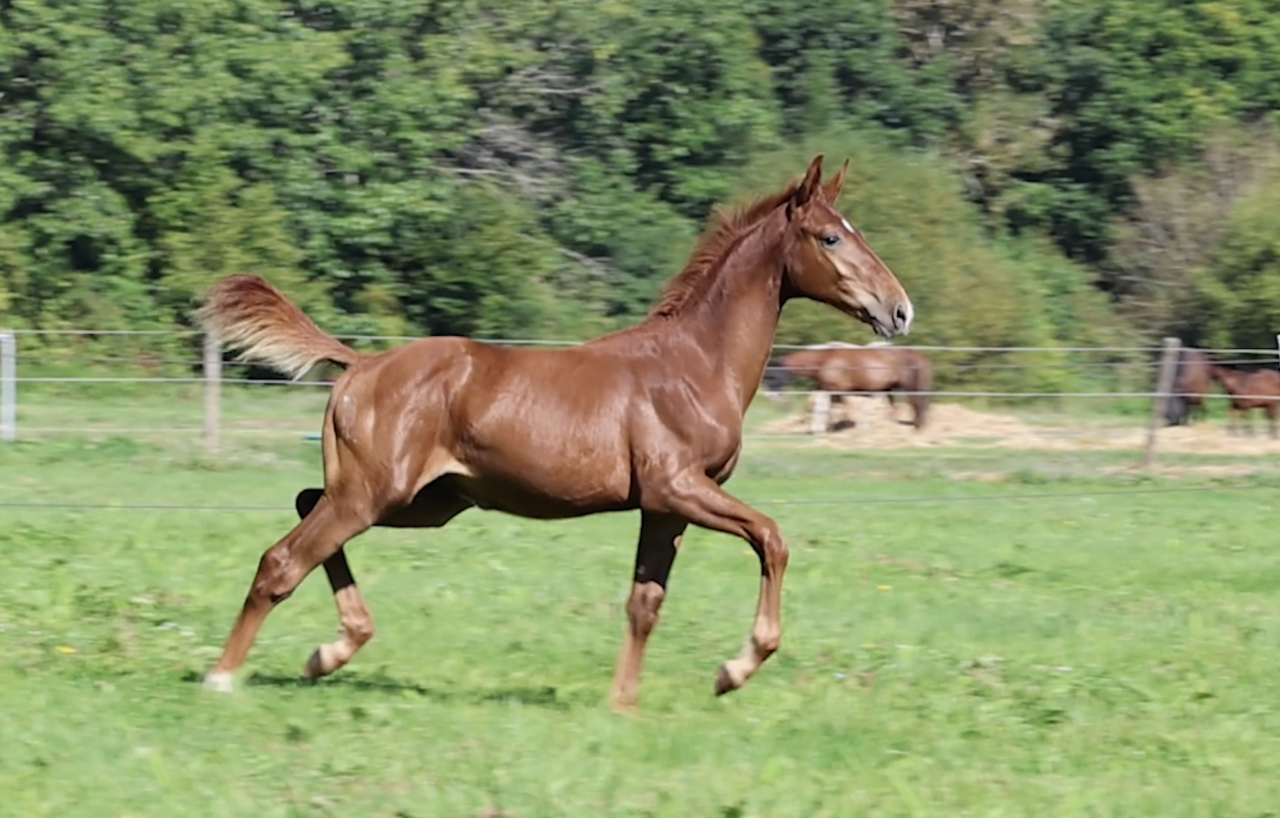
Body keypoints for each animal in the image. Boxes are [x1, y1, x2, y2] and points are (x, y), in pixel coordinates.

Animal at [195, 155, 915, 711]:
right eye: (830, 238)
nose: (900, 310)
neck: (693, 363)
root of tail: (361, 365)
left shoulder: (664, 507)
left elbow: (645, 602)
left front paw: (622, 703)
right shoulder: (679, 487)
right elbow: (772, 536)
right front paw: (733, 670)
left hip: (422, 502)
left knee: (306, 509)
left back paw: (331, 650)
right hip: (375, 494)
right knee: (283, 558)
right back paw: (224, 676)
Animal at [764, 343, 933, 430]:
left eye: (772, 375)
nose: (770, 397)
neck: (825, 360)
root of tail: (916, 354)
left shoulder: (837, 391)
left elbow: (839, 408)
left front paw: (837, 427)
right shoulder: (826, 389)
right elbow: (825, 407)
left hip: (909, 387)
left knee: (916, 404)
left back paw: (917, 428)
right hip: (890, 389)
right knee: (899, 406)